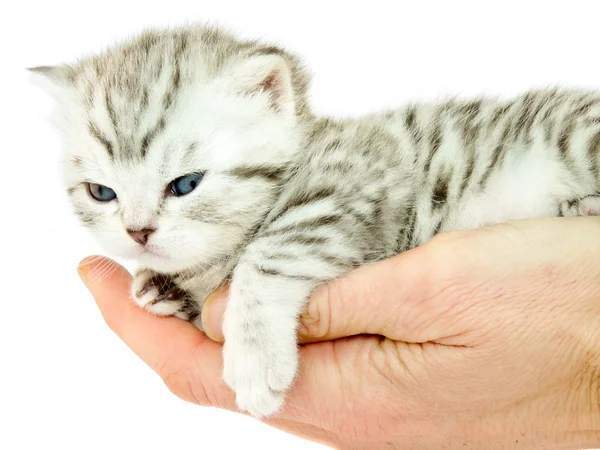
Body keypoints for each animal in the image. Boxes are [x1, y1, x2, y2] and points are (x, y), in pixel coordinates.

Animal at [31, 24, 600, 418]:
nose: (138, 232)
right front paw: (166, 288)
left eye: (186, 184)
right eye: (102, 192)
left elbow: (270, 251)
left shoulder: (358, 180)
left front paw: (255, 357)